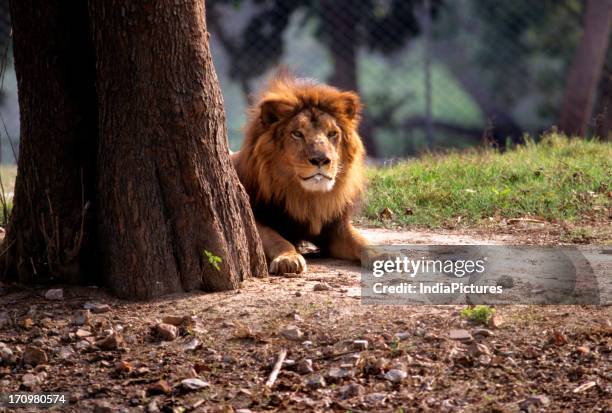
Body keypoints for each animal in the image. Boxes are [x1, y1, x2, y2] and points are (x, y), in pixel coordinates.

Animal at [233, 72, 368, 274]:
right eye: (297, 134)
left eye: (332, 133)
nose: (321, 160)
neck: (305, 199)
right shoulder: (250, 219)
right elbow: (276, 238)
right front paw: (289, 258)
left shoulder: (335, 228)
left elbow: (363, 242)